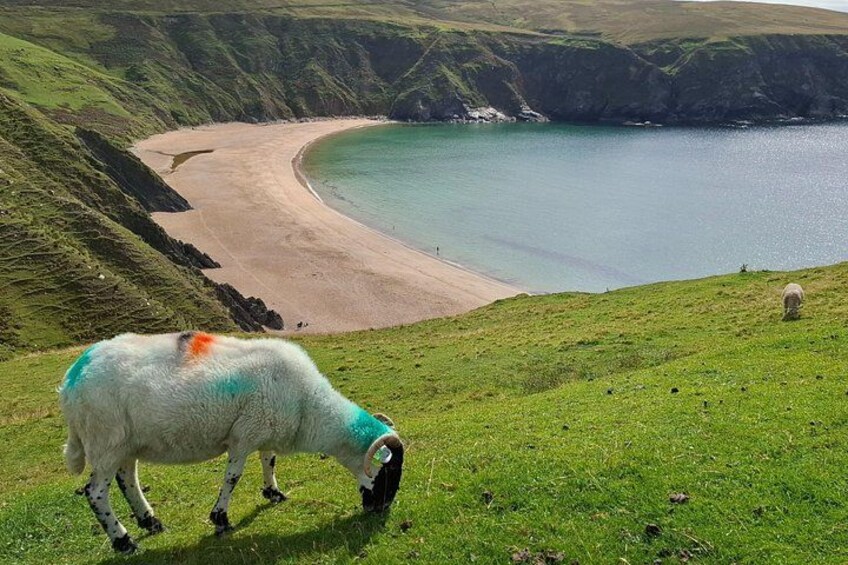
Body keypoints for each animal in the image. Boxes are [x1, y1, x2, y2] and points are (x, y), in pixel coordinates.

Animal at [59, 331, 404, 554]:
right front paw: (221, 520)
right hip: (105, 440)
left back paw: (151, 522)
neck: (309, 406)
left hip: (125, 443)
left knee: (127, 478)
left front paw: (273, 493)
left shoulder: (265, 427)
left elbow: (269, 460)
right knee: (96, 493)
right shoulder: (244, 434)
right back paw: (123, 541)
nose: (381, 510)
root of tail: (72, 377)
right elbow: (233, 477)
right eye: (388, 474)